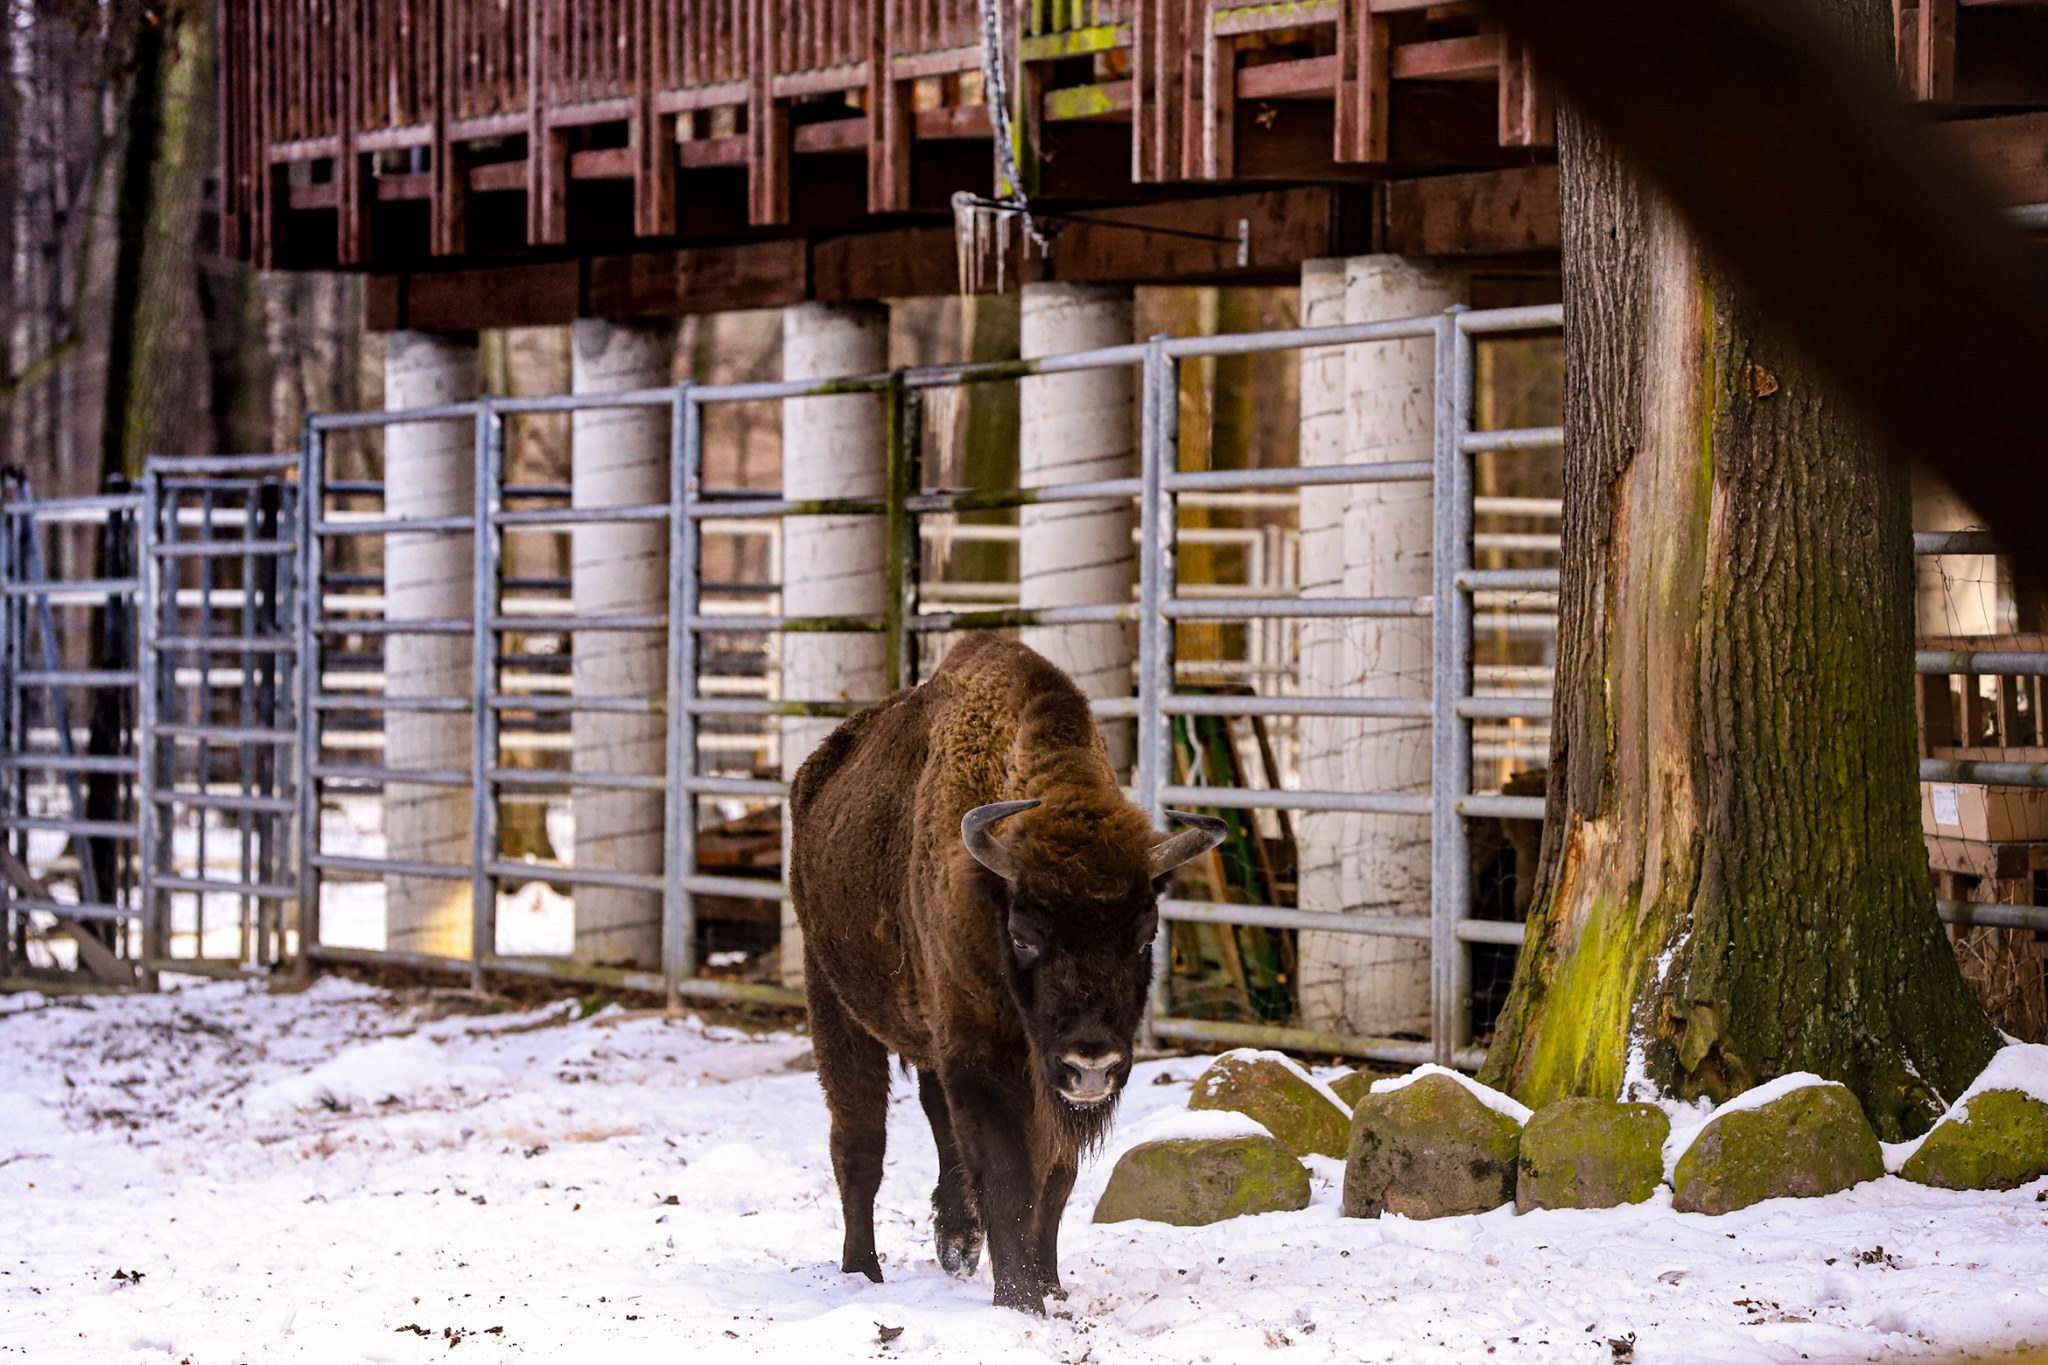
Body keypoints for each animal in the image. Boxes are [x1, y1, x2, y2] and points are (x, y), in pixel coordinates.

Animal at [790, 634, 1220, 1309]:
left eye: (1145, 934)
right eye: (1023, 934)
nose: (1091, 1064)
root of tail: (817, 775)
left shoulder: (1034, 1080)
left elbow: (1053, 1179)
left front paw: (1049, 1286)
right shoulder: (984, 1053)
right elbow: (1008, 1174)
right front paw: (1020, 1300)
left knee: (934, 1119)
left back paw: (957, 1245)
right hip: (832, 1000)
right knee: (859, 1141)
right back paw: (862, 1270)